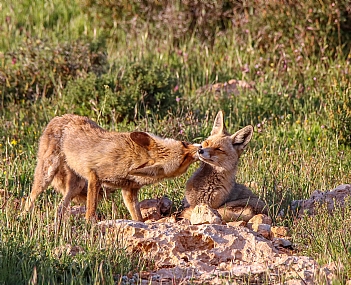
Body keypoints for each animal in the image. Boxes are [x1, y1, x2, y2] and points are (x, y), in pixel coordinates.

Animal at [24, 113, 201, 220]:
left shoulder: (129, 191)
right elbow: (91, 209)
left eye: (185, 144)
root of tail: (58, 117)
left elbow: (137, 217)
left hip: (77, 185)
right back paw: (23, 216)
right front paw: (89, 226)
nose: (200, 148)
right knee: (30, 198)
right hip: (47, 174)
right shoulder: (95, 176)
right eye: (184, 157)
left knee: (61, 206)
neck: (130, 159)